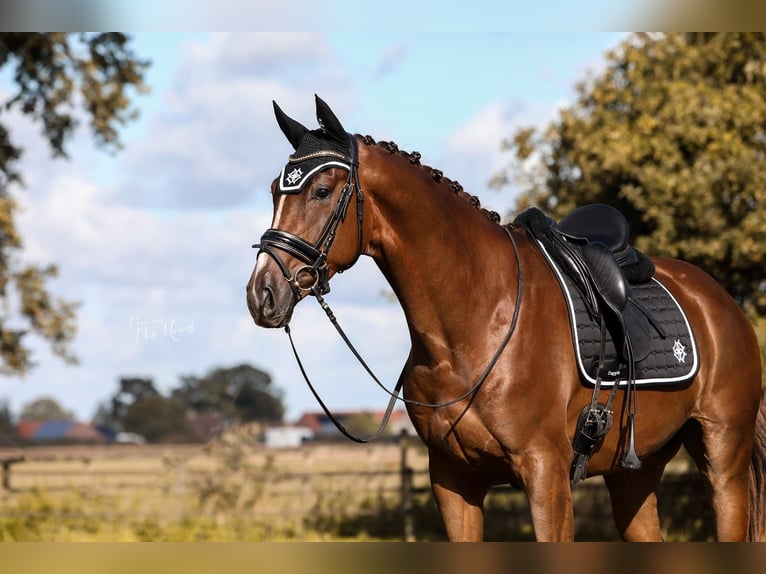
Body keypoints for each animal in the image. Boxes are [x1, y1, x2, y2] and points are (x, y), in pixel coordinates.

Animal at [246, 95, 766, 541]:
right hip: (634, 473)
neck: (472, 325)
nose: (262, 293)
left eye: (321, 190)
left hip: (724, 458)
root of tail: (720, 302)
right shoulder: (454, 481)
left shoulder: (546, 475)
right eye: (274, 191)